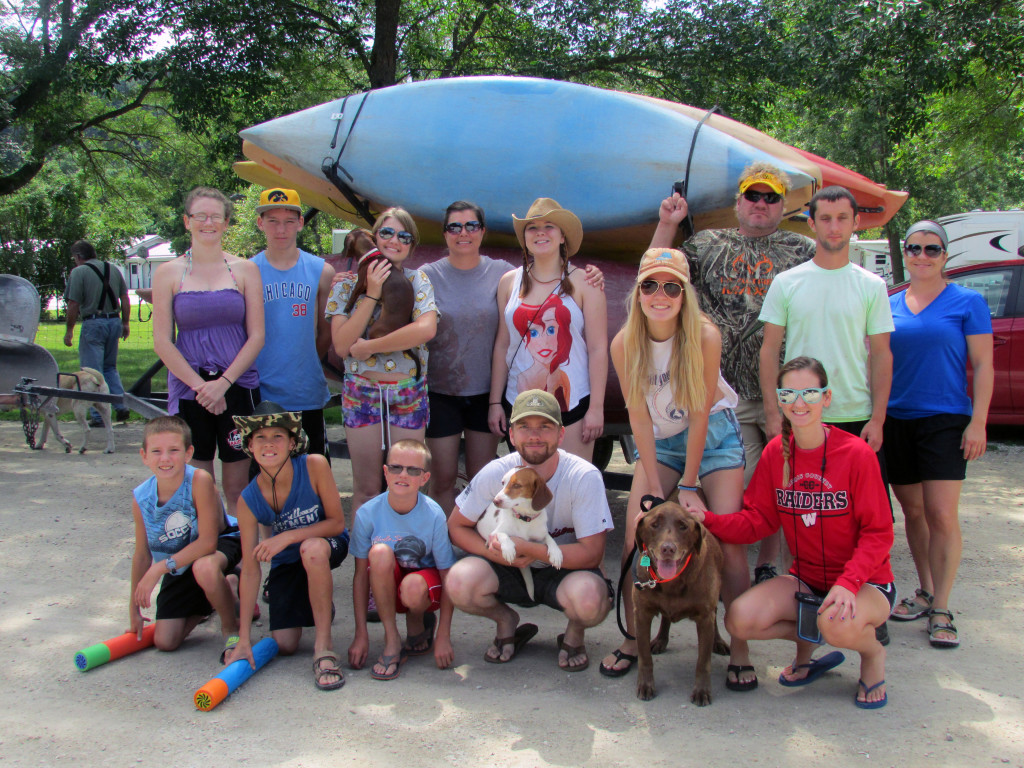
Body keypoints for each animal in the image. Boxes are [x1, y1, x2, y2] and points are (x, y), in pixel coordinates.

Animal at [475, 466, 565, 606]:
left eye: (517, 485)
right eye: (503, 483)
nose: (495, 501)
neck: (524, 518)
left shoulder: (540, 534)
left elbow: (549, 538)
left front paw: (556, 553)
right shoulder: (495, 533)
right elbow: (503, 534)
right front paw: (508, 549)